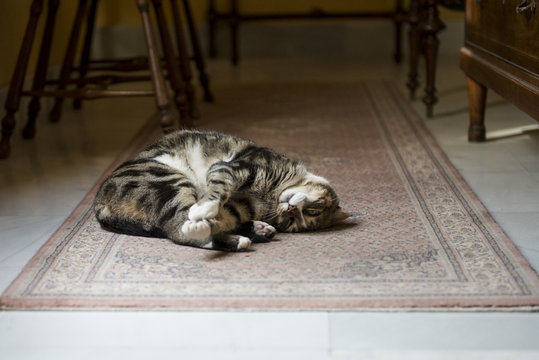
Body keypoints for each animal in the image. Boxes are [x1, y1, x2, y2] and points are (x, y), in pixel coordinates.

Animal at [94, 129, 350, 250]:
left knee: (186, 229)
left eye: (292, 222)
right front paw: (203, 209)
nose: (289, 209)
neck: (270, 198)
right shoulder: (233, 167)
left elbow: (221, 217)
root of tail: (98, 202)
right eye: (313, 209)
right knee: (177, 227)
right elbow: (218, 190)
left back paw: (253, 233)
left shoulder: (240, 206)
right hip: (168, 179)